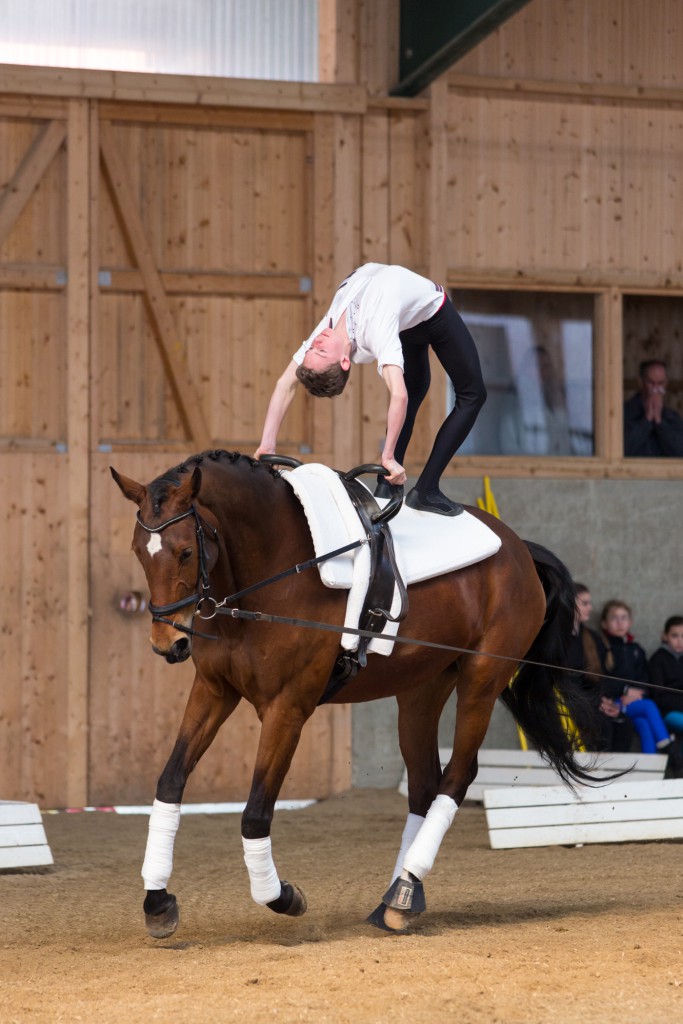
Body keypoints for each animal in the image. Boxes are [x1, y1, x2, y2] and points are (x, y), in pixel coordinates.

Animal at [113, 452, 602, 937]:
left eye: (185, 552)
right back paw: (400, 897)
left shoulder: (288, 707)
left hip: (482, 678)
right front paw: (157, 901)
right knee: (423, 785)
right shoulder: (214, 691)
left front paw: (283, 897)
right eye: (138, 551)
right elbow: (170, 782)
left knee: (458, 775)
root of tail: (518, 546)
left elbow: (255, 812)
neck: (272, 570)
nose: (168, 645)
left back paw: (404, 892)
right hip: (421, 690)